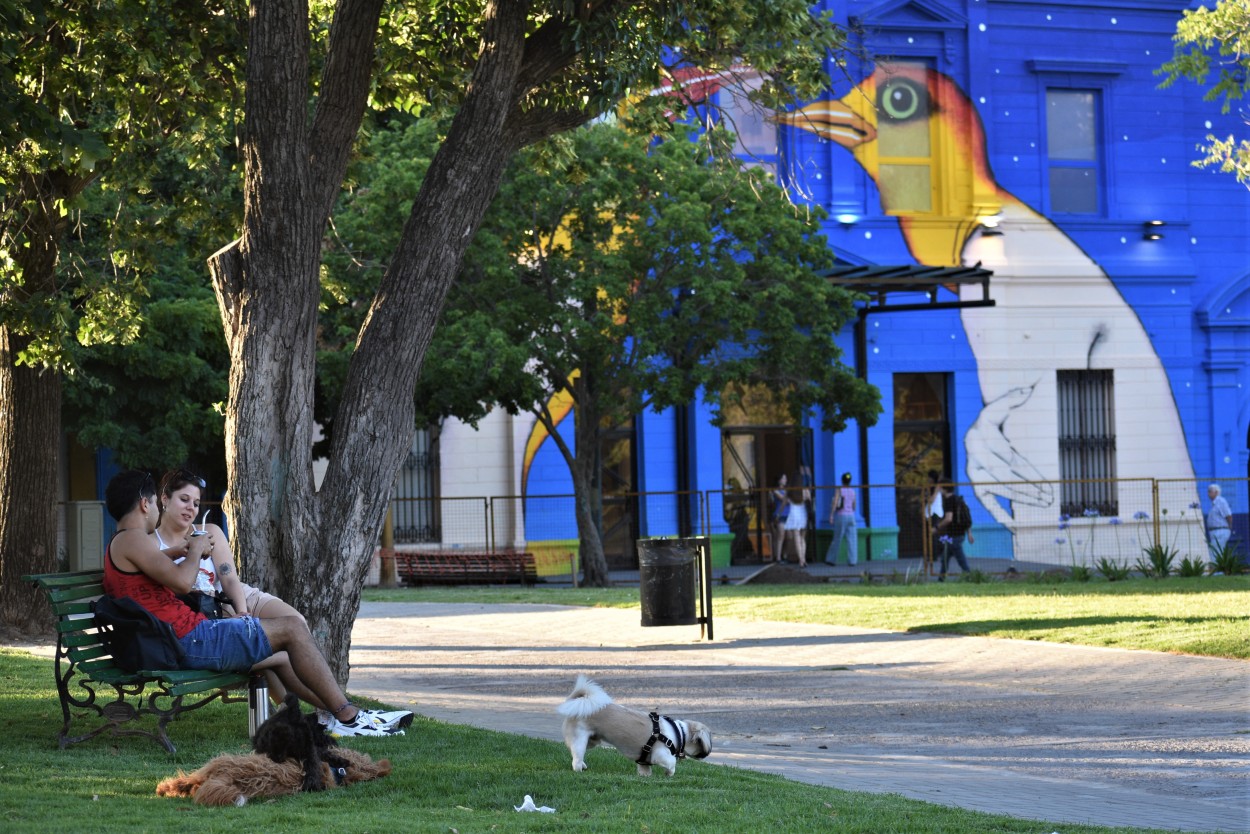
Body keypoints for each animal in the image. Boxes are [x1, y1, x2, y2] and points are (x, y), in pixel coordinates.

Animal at [557, 675, 715, 780]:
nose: (707, 754)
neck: (679, 733)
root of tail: (577, 702)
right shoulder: (660, 754)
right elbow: (672, 763)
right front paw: (669, 773)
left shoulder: (643, 761)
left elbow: (645, 770)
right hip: (580, 739)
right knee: (576, 760)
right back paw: (579, 769)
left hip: (592, 741)